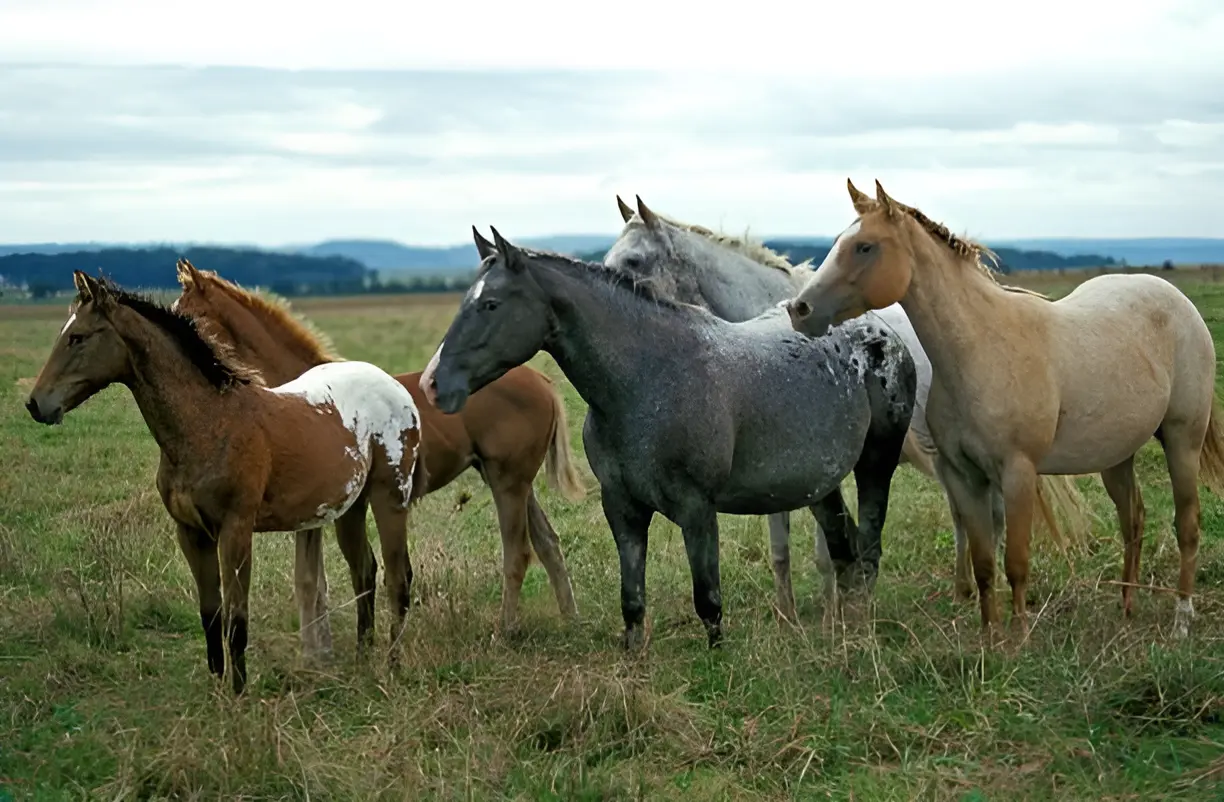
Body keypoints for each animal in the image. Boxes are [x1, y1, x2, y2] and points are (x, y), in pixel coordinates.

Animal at [26, 271, 428, 695]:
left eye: (78, 337)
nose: (36, 404)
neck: (210, 423)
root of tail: (399, 390)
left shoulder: (235, 530)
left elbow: (236, 619)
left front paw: (238, 695)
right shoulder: (191, 533)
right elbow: (211, 614)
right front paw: (217, 687)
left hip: (390, 498)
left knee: (397, 578)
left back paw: (391, 666)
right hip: (350, 507)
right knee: (364, 572)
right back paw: (362, 661)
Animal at [168, 260, 587, 641]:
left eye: (189, 317)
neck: (301, 399)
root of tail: (543, 380)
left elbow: (318, 581)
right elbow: (313, 582)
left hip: (507, 482)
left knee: (518, 552)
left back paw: (506, 630)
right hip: (509, 480)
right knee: (548, 543)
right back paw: (570, 620)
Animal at [421, 227, 920, 651]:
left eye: (491, 304)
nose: (432, 384)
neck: (648, 378)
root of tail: (879, 331)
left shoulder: (697, 509)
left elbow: (709, 602)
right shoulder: (622, 508)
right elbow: (632, 603)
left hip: (876, 464)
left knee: (867, 550)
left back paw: (860, 632)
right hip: (819, 484)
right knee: (844, 550)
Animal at [602, 195, 1091, 609]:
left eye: (634, 260)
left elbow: (827, 550)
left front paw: (833, 611)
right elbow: (781, 549)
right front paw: (789, 615)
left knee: (988, 518)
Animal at [783, 177, 1224, 641]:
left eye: (865, 246)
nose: (800, 309)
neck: (981, 347)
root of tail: (1179, 302)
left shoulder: (1018, 473)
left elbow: (1016, 561)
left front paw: (1020, 637)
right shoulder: (965, 477)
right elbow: (983, 563)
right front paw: (991, 636)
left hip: (1182, 440)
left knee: (1187, 526)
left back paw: (1181, 622)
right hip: (1117, 455)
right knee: (1133, 520)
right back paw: (1127, 607)